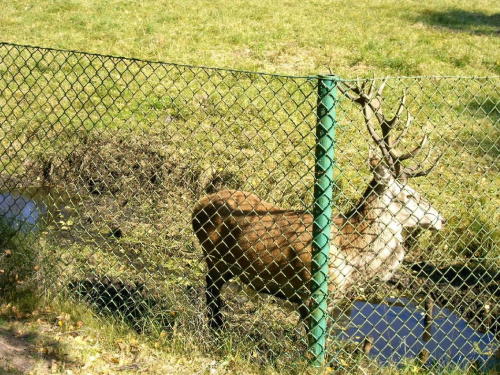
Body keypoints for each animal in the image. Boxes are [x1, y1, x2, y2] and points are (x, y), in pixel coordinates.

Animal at [190, 78, 446, 328]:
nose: (441, 219)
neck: (352, 256)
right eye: (409, 195)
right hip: (215, 257)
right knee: (211, 289)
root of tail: (199, 204)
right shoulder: (312, 294)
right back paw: (217, 327)